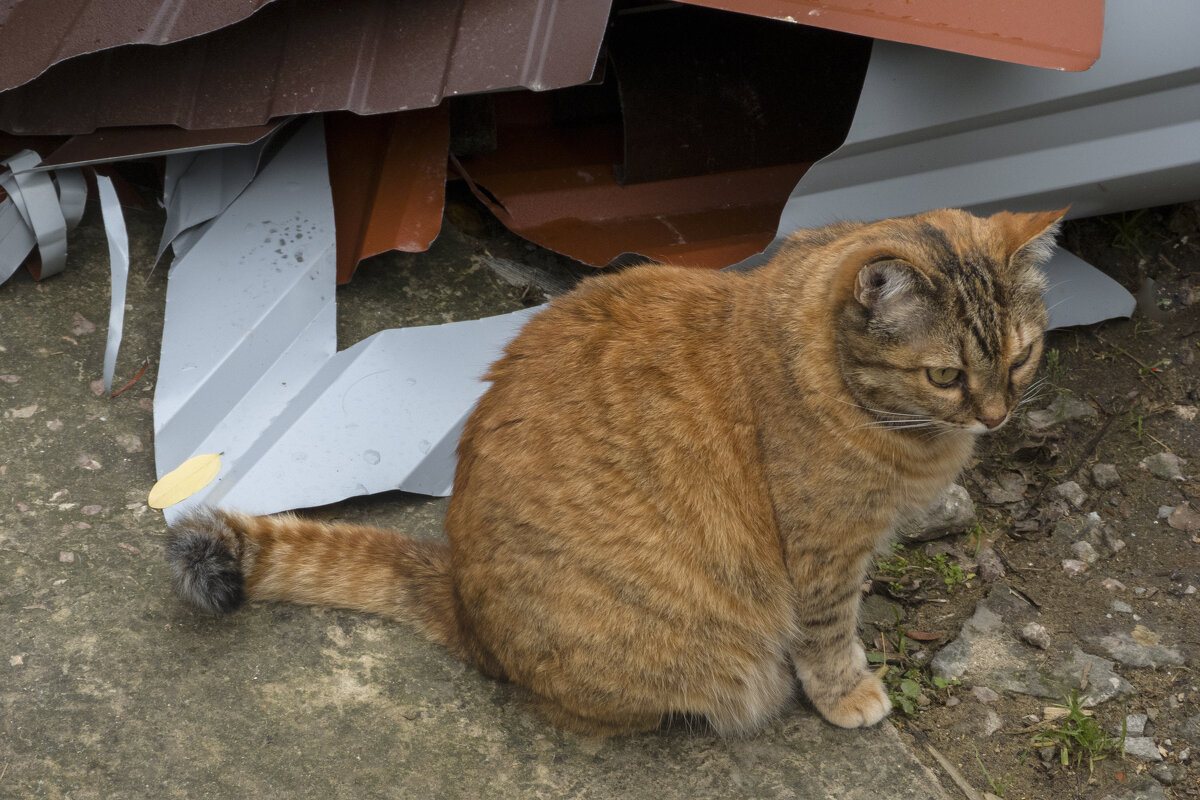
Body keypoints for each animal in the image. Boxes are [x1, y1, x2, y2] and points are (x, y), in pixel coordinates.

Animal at [164, 208, 1065, 738]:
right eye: (946, 376)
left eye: (1022, 357)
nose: (996, 417)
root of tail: (459, 595)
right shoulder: (823, 551)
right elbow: (827, 632)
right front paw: (847, 691)